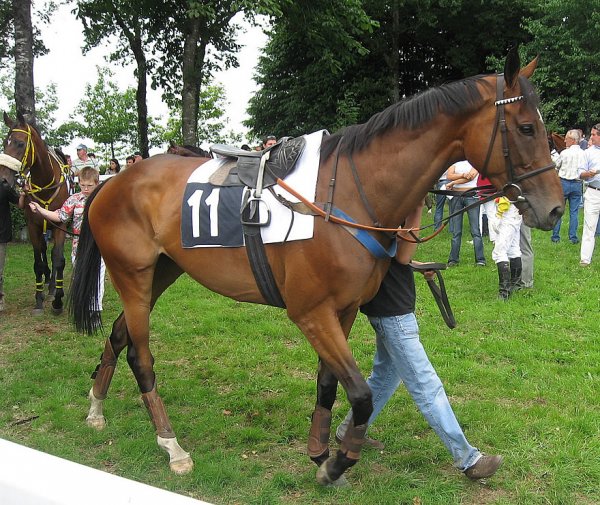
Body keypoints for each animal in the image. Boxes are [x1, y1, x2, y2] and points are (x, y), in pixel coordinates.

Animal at [0, 112, 70, 314]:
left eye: (20, 143)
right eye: (4, 143)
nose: (3, 179)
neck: (46, 183)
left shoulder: (60, 224)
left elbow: (58, 258)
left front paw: (58, 299)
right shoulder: (33, 226)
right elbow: (38, 262)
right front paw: (39, 299)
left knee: (53, 254)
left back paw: (53, 285)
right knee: (45, 250)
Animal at [69, 50, 564, 484]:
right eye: (526, 127)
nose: (556, 209)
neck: (348, 195)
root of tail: (114, 180)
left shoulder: (343, 310)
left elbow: (329, 382)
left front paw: (319, 450)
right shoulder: (310, 312)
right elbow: (361, 394)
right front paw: (336, 464)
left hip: (161, 271)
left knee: (118, 336)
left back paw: (95, 409)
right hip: (132, 275)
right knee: (140, 354)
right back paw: (172, 446)